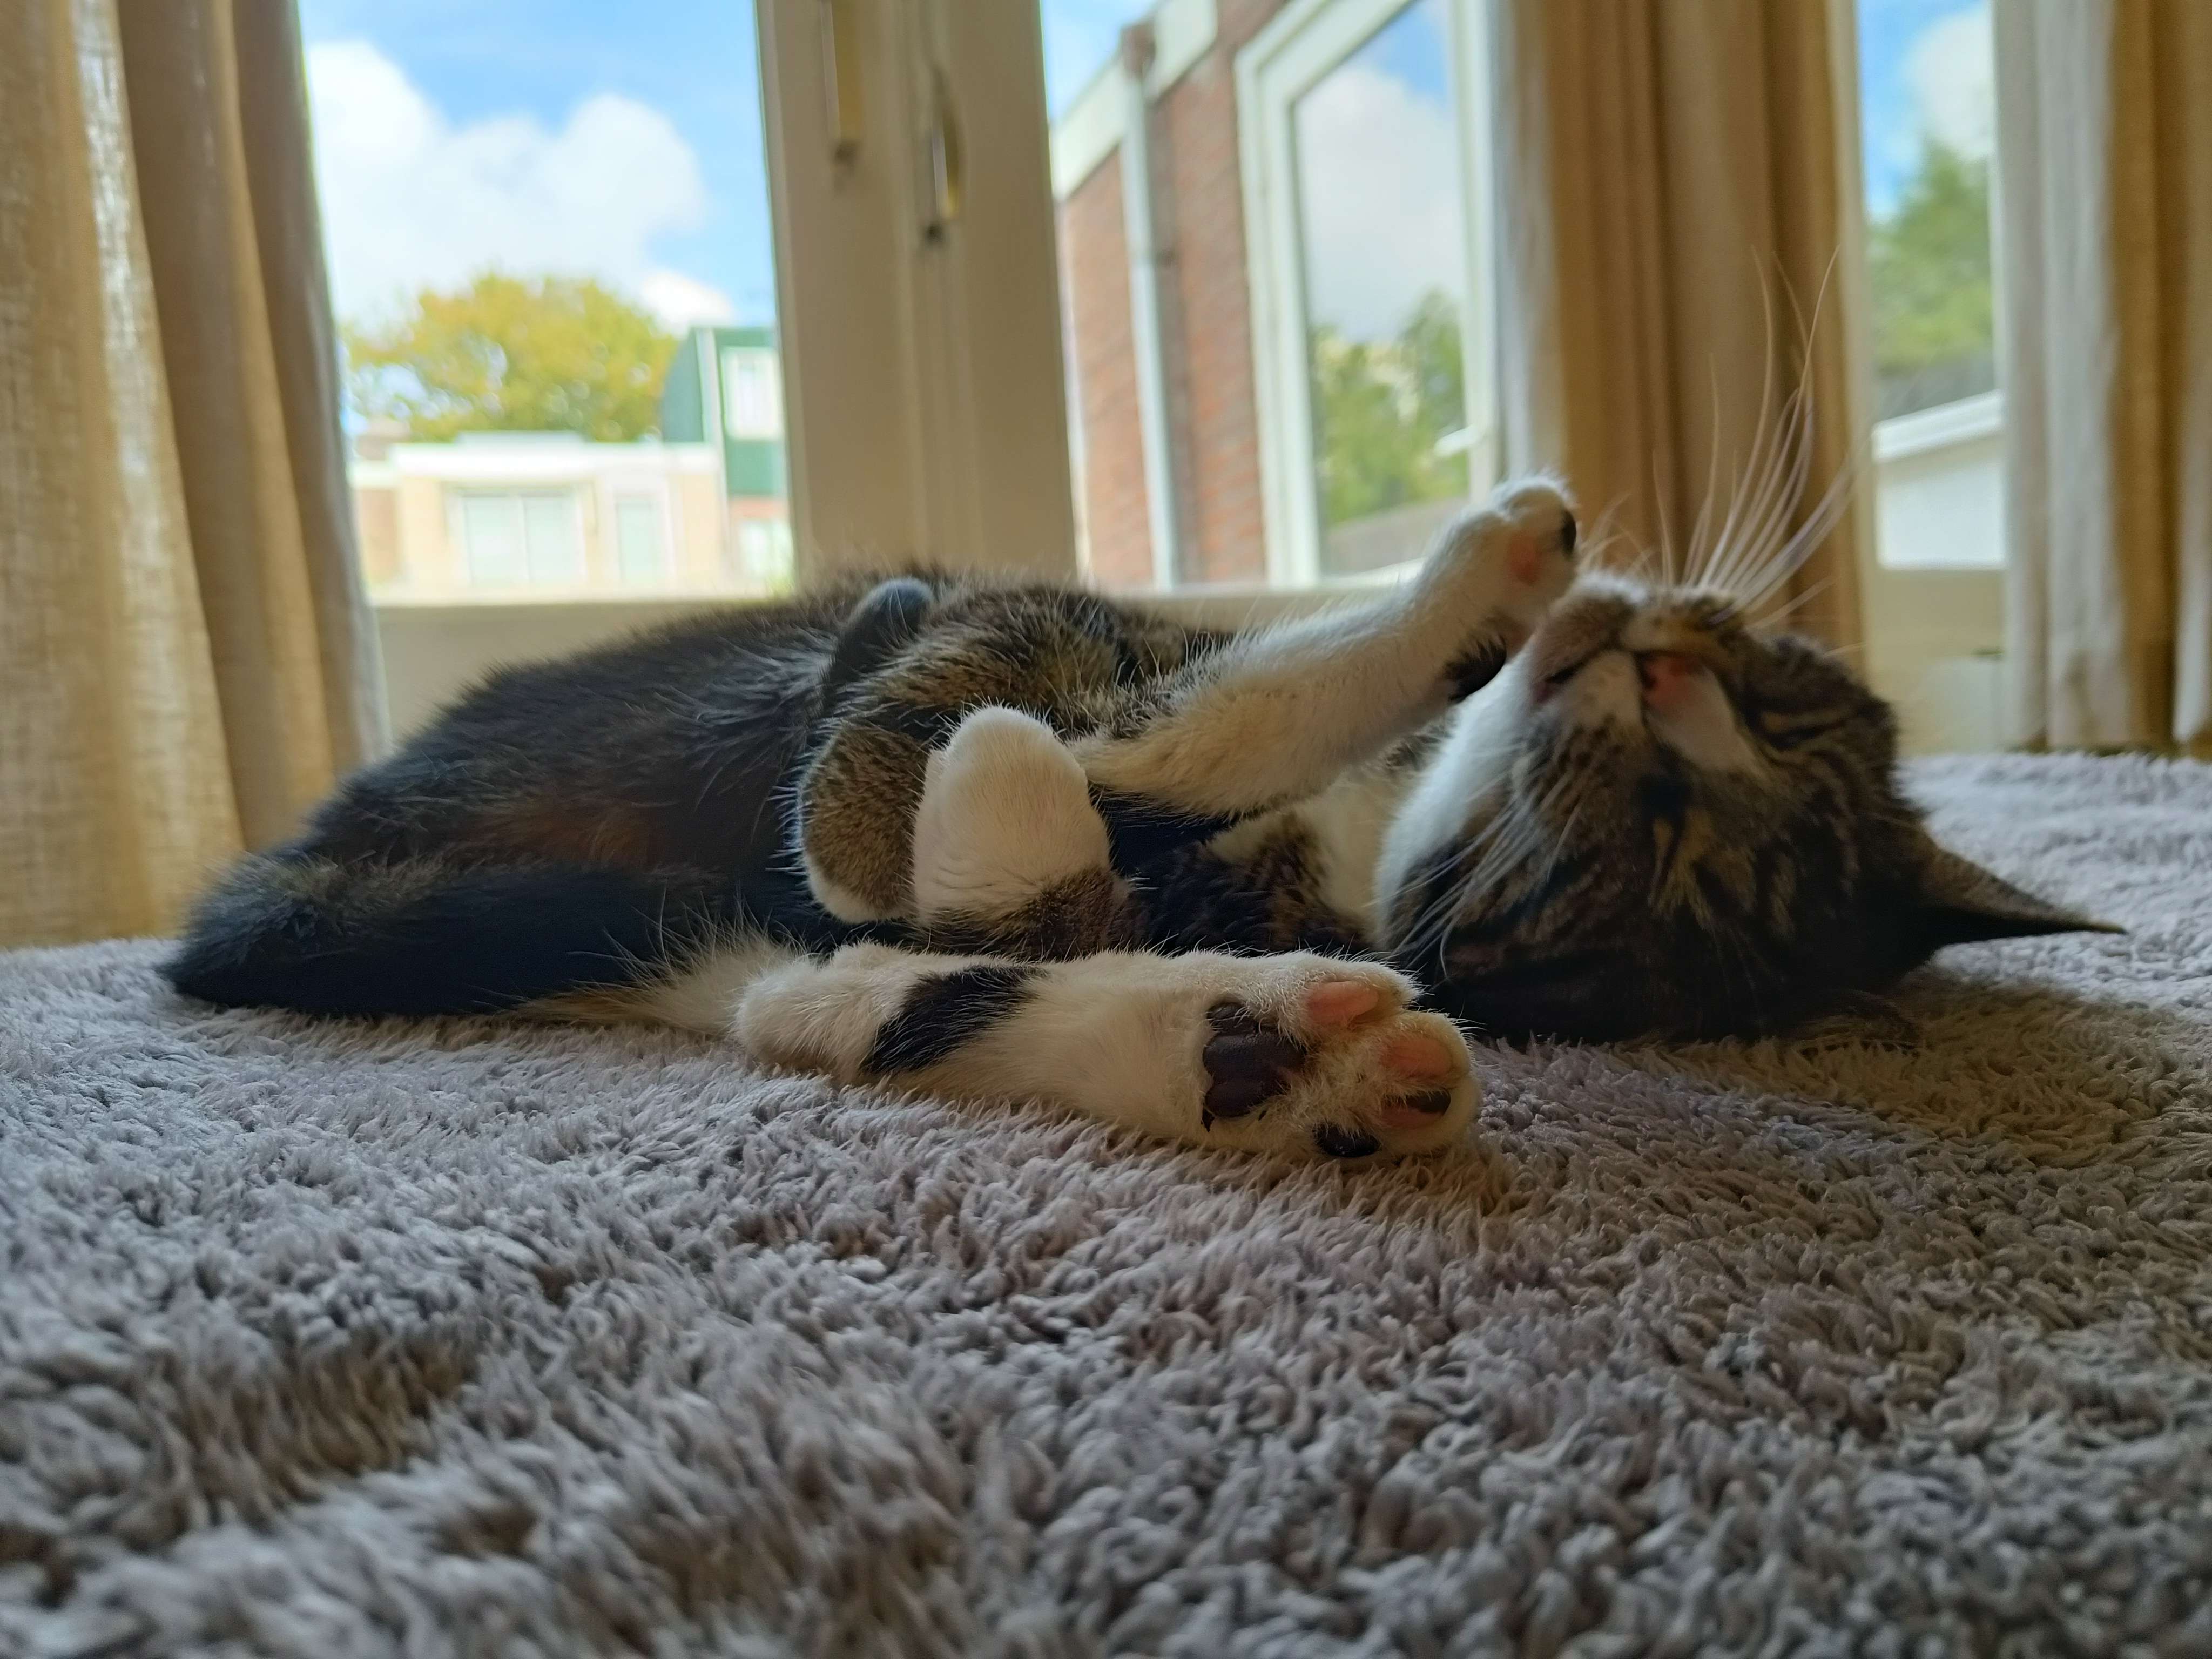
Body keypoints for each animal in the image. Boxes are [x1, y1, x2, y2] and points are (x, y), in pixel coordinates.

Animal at [164, 478, 2113, 1161]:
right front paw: (1486, 572)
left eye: (1657, 843)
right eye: (1774, 686)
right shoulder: (978, 620)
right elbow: (1116, 702)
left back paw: (1266, 1055)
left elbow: (1029, 832)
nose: (1651, 661)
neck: (1353, 839)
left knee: (794, 982)